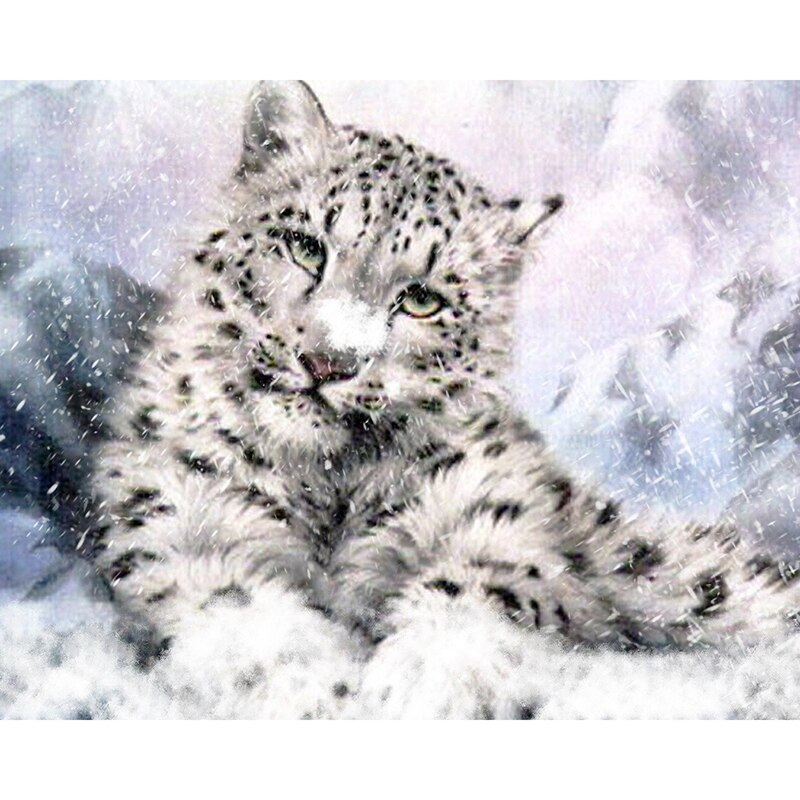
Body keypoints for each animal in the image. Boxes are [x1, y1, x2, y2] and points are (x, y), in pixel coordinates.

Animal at [86, 81, 800, 718]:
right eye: (305, 245)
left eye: (423, 299)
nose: (328, 362)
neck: (328, 483)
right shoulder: (180, 523)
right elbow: (233, 606)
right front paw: (311, 688)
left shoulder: (504, 527)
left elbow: (478, 587)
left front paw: (419, 679)